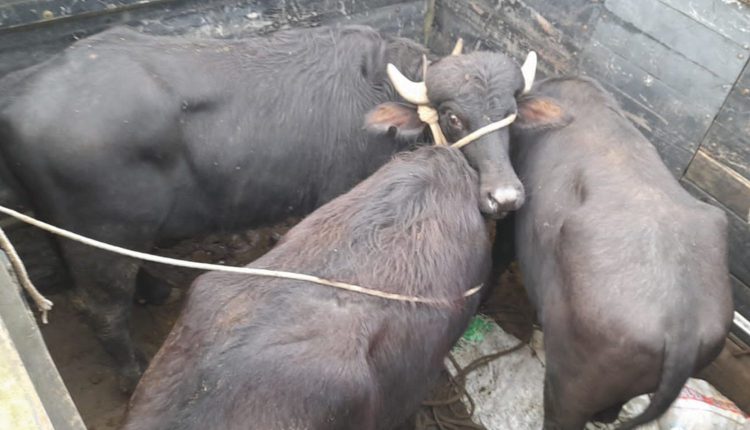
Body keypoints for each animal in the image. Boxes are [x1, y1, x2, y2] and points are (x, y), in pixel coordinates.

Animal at [0, 25, 536, 392]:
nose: (505, 197)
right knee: (104, 309)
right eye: (452, 115)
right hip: (103, 235)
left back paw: (154, 290)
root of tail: (22, 86)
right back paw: (133, 373)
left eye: (510, 112)